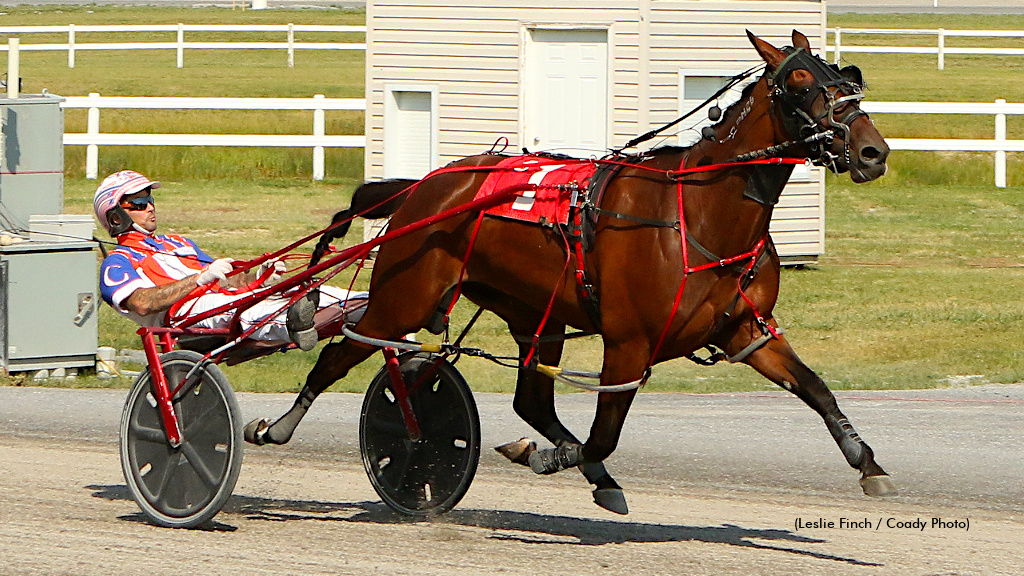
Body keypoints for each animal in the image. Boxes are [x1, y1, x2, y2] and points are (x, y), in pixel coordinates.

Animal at [243, 32, 892, 510]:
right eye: (801, 84)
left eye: (847, 78)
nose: (872, 152)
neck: (699, 215)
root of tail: (425, 186)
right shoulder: (629, 344)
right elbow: (605, 432)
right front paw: (549, 457)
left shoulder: (744, 331)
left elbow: (815, 387)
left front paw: (868, 462)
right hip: (402, 297)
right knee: (338, 354)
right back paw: (276, 426)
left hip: (536, 312)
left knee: (532, 400)